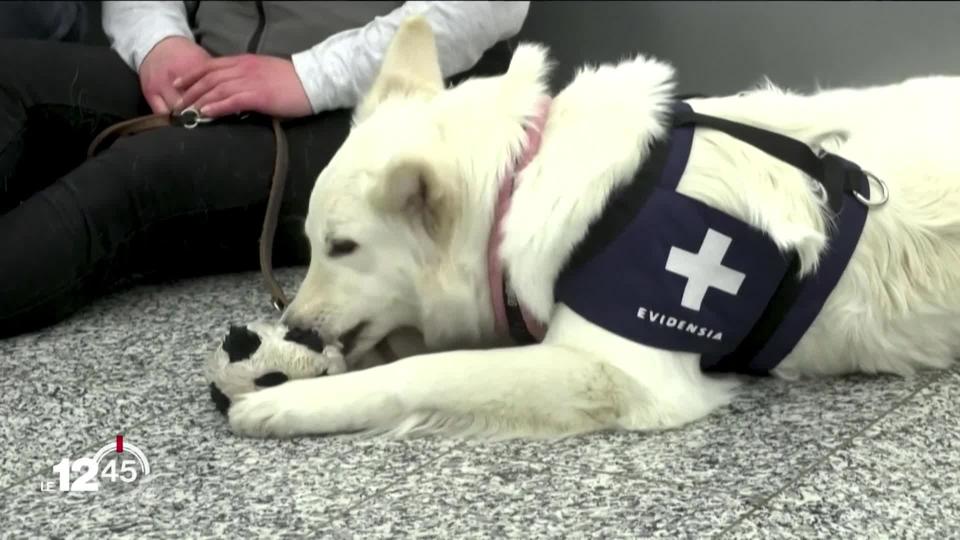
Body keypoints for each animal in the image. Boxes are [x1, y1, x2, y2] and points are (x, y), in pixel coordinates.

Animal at [227, 17, 960, 438]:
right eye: (312, 246)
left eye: (342, 247)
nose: (295, 329)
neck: (523, 177)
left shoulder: (619, 374)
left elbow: (426, 371)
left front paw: (296, 401)